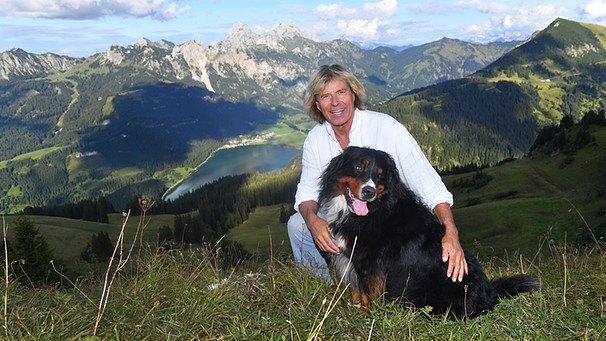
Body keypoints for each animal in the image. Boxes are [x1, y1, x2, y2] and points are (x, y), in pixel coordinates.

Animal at [318, 146, 540, 318]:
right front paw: (355, 307)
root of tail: (490, 294)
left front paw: (366, 315)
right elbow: (357, 289)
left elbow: (367, 294)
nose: (368, 192)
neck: (374, 209)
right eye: (358, 167)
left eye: (380, 174)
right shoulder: (352, 258)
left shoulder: (370, 263)